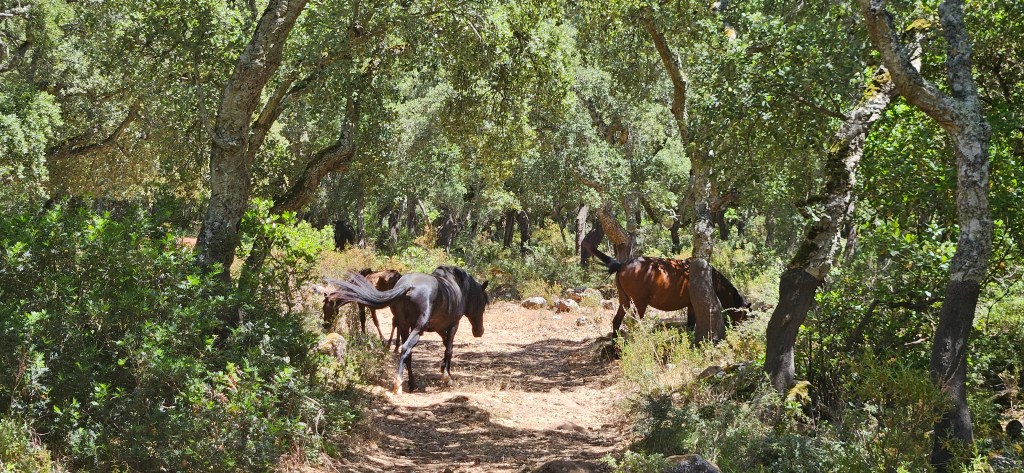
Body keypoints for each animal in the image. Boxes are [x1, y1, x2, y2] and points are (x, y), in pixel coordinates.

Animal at [328, 266, 489, 394]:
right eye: (484, 303)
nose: (479, 331)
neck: (457, 286)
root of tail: (408, 286)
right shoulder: (453, 325)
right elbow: (449, 349)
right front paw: (447, 377)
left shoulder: (438, 328)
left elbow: (445, 346)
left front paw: (443, 368)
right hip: (417, 329)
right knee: (406, 349)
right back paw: (398, 384)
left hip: (406, 326)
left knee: (408, 353)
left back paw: (412, 383)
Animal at [582, 243, 750, 336]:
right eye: (745, 315)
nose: (742, 331)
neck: (711, 278)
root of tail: (622, 264)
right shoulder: (693, 305)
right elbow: (691, 325)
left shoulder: (690, 306)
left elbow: (690, 325)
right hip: (639, 303)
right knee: (635, 323)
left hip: (624, 300)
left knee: (616, 321)